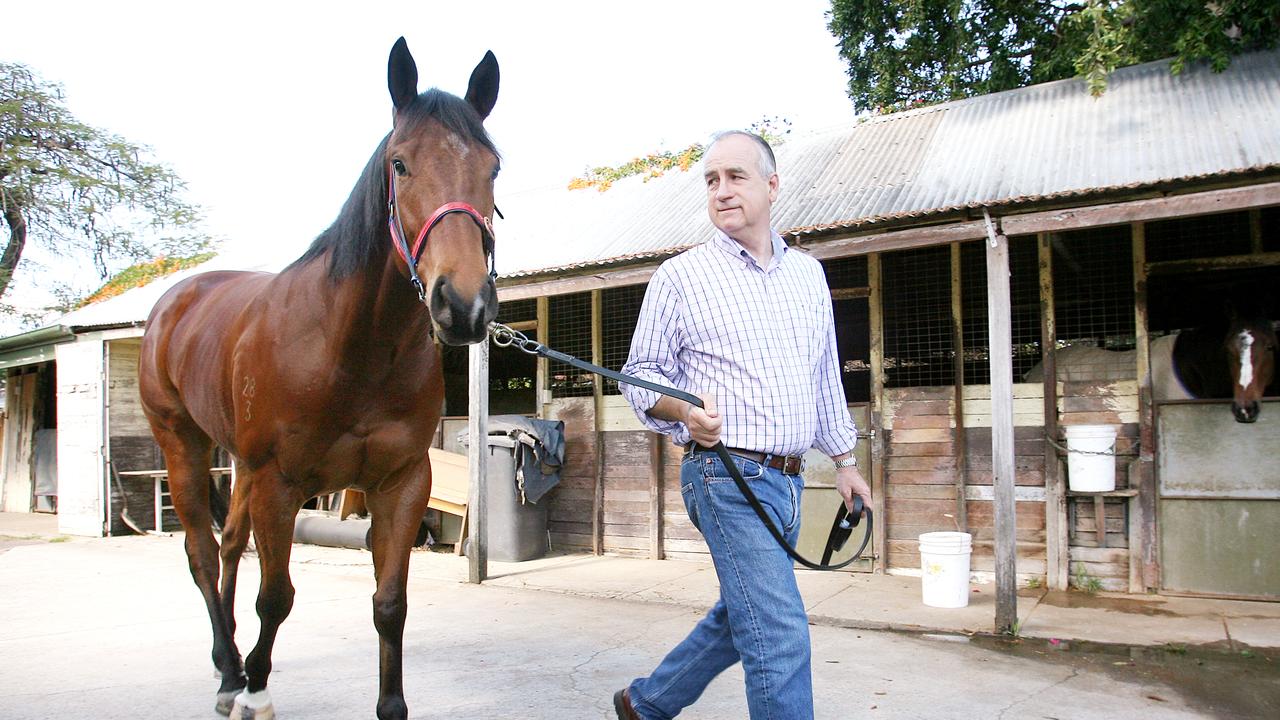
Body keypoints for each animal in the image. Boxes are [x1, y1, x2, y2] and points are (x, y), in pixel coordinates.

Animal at [138, 39, 499, 717]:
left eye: (493, 168)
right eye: (400, 164)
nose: (463, 305)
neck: (349, 347)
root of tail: (175, 300)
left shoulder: (401, 483)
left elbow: (390, 605)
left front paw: (390, 705)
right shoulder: (281, 483)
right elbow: (276, 596)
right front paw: (257, 689)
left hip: (240, 465)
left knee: (230, 544)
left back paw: (230, 666)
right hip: (185, 445)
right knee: (202, 552)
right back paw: (229, 672)